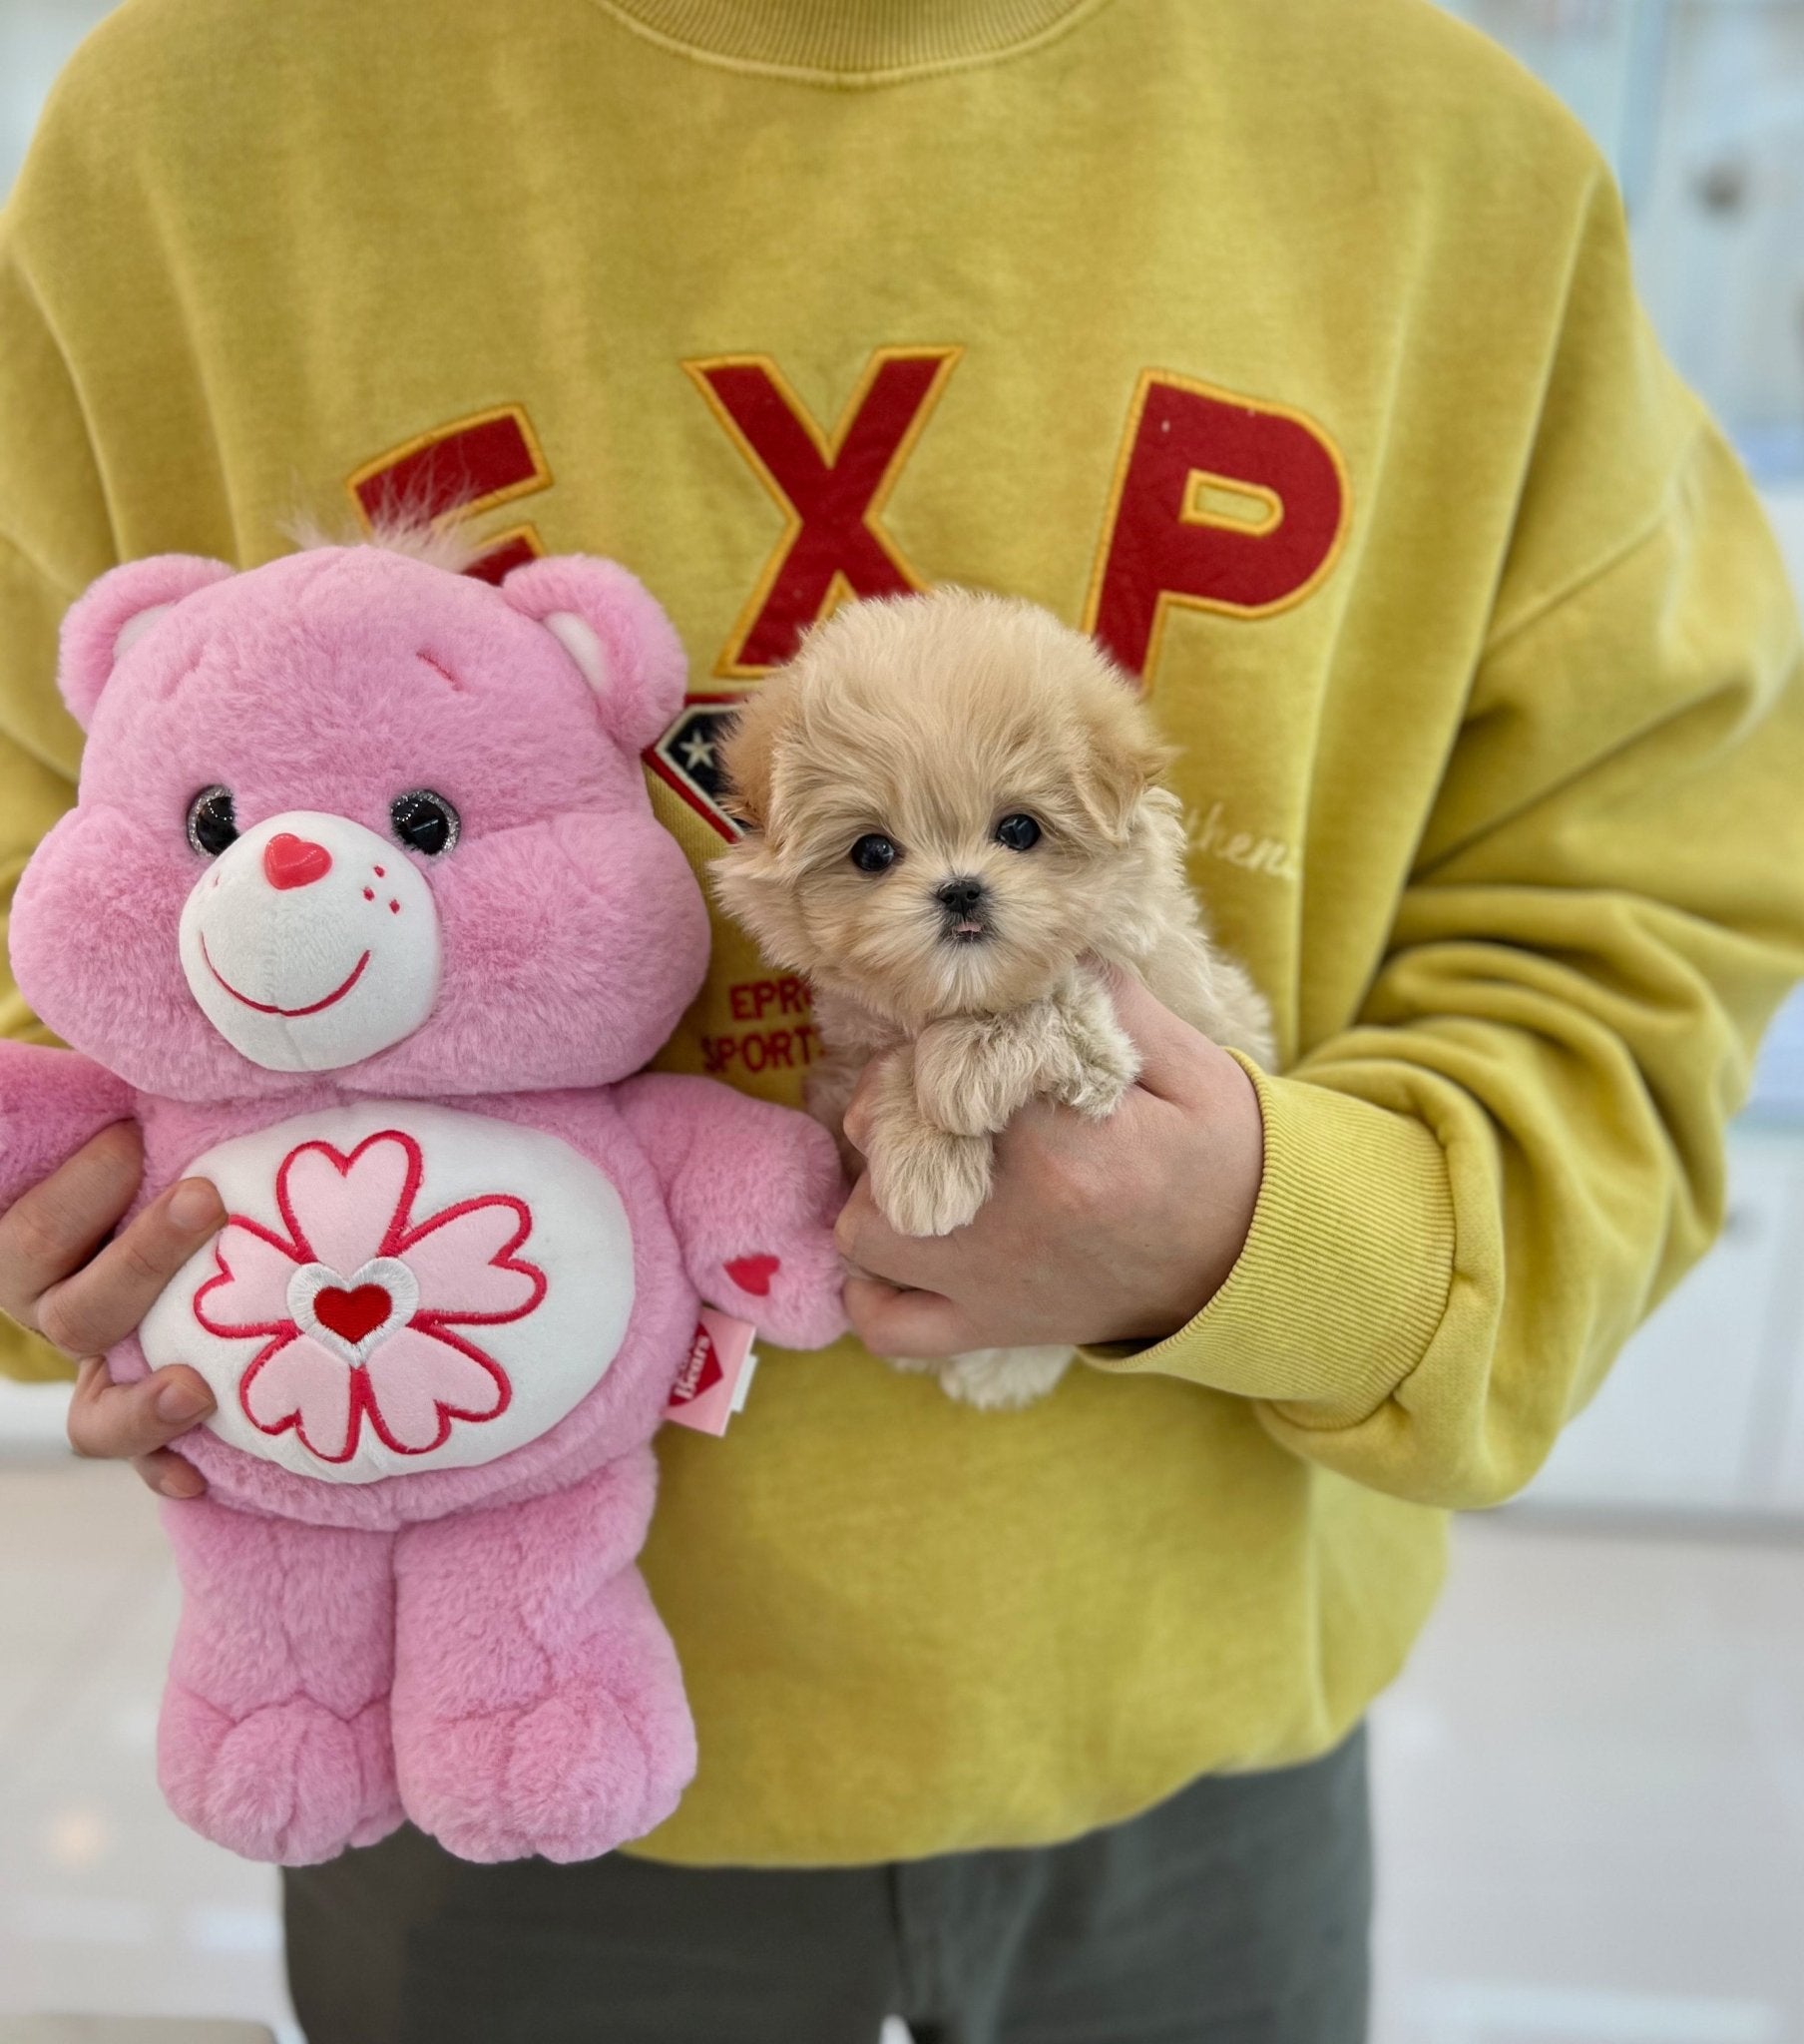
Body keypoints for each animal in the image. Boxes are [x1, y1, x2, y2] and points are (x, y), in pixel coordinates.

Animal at [710, 588, 1274, 1406]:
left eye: (1019, 829)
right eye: (872, 851)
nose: (959, 889)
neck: (967, 994)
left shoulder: (1139, 1014)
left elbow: (1057, 998)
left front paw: (956, 1079)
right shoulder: (856, 1050)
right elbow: (891, 1063)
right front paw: (923, 1162)